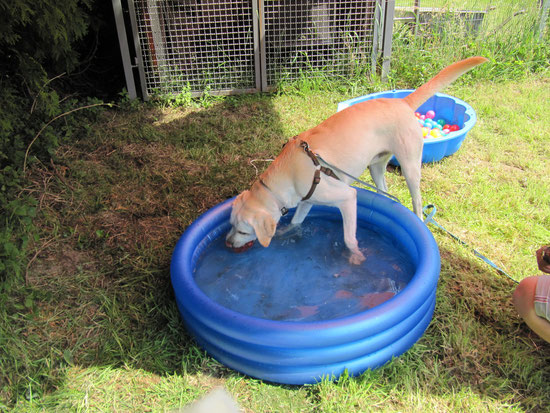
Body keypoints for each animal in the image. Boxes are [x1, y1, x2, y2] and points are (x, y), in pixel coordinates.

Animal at [226, 56, 490, 262]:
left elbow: (349, 237)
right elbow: (296, 222)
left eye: (242, 231)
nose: (227, 243)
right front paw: (286, 233)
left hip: (410, 166)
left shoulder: (346, 197)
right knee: (384, 192)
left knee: (416, 201)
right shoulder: (307, 200)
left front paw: (356, 256)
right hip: (376, 166)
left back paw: (420, 219)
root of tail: (403, 102)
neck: (286, 175)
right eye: (231, 225)